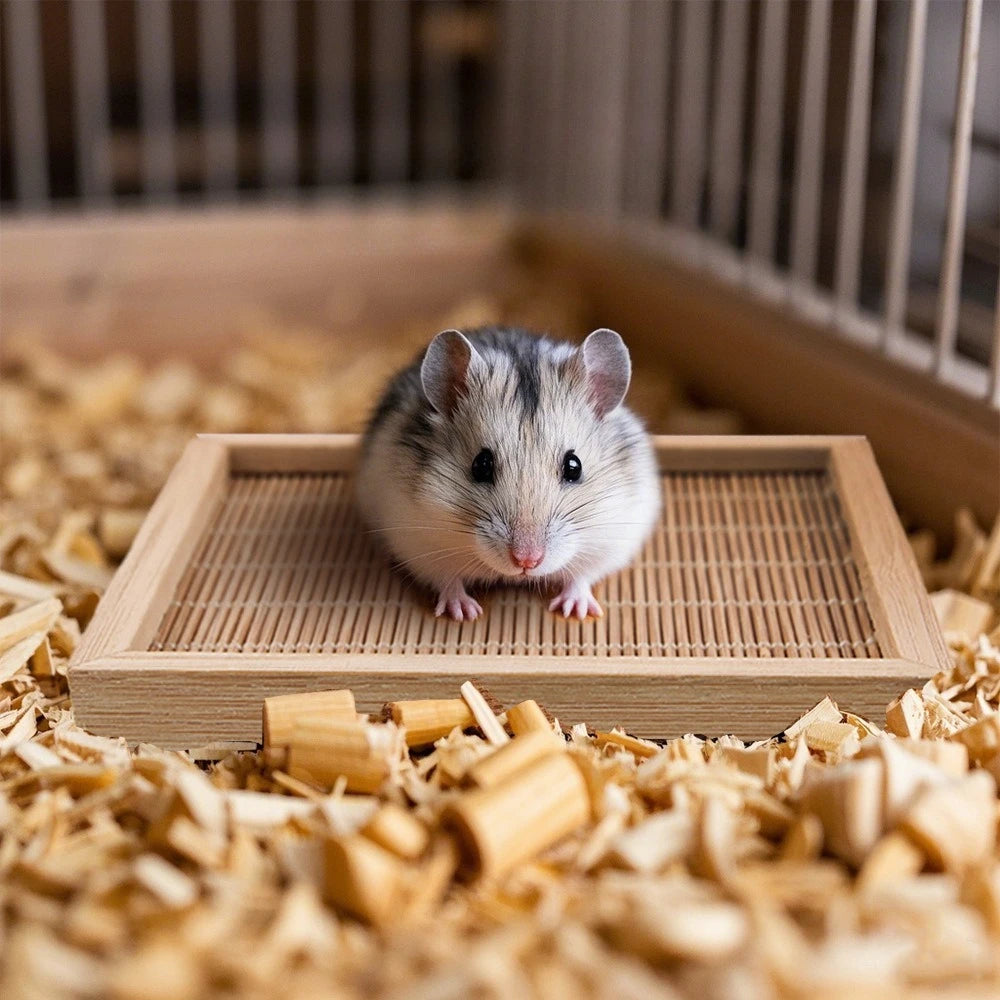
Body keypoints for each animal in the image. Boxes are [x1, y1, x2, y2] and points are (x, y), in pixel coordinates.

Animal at [356, 326, 660, 622]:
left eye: (574, 467)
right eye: (481, 465)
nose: (527, 561)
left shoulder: (611, 541)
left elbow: (581, 576)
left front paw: (574, 610)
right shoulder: (418, 543)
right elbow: (447, 579)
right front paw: (464, 613)